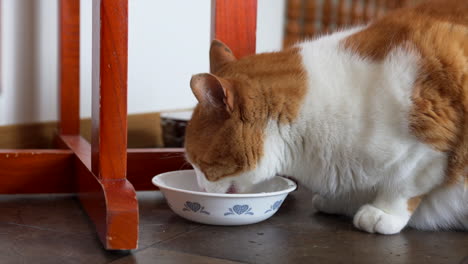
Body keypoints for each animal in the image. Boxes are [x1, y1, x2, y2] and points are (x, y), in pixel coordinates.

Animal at [185, 0, 466, 235]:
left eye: (201, 164)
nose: (200, 189)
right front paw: (342, 202)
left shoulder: (425, 150)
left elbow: (403, 185)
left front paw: (381, 212)